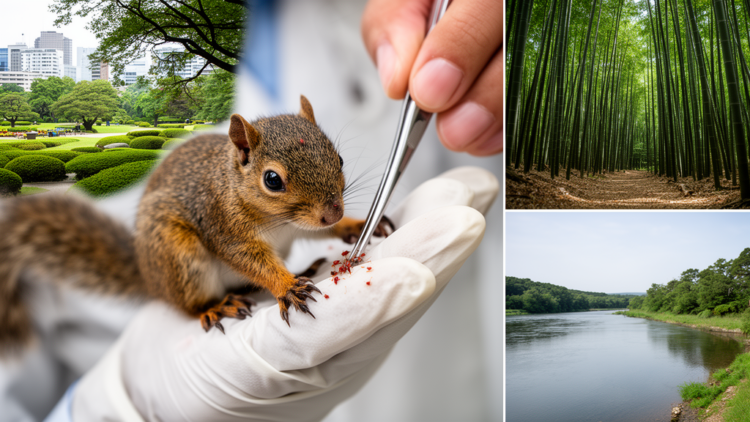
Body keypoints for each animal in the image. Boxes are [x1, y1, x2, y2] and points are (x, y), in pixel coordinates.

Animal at [0, 95, 392, 354]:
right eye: (272, 180)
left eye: (339, 159)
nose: (333, 212)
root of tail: (151, 277)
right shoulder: (223, 225)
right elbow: (251, 260)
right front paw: (287, 285)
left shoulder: (300, 224)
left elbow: (320, 231)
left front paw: (356, 225)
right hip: (179, 253)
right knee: (190, 306)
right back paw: (218, 306)